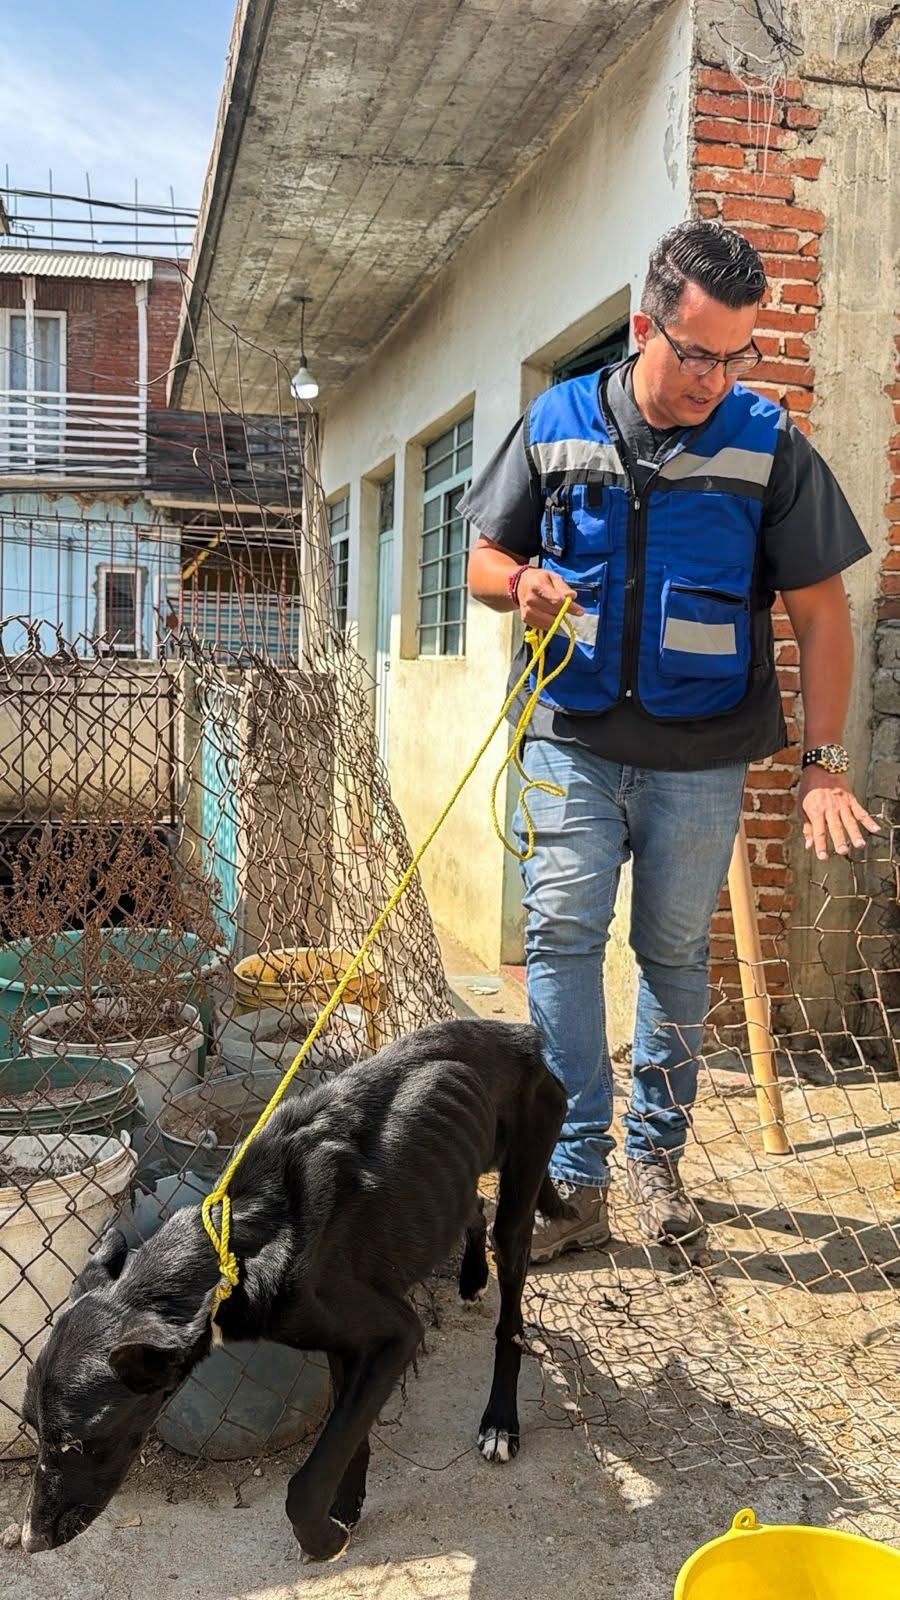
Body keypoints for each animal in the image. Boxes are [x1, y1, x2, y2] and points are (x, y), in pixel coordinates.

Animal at [21, 1018, 567, 1562]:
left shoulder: (394, 1335)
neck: (236, 1250)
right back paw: (472, 1278)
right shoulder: (348, 1344)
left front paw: (324, 1537)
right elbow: (349, 1436)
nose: (29, 1541)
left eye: (76, 1444)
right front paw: (345, 1507)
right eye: (32, 1428)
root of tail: (519, 1034)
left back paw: (500, 1421)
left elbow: (310, 1476)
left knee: (509, 1310)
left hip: (521, 1193)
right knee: (471, 1205)